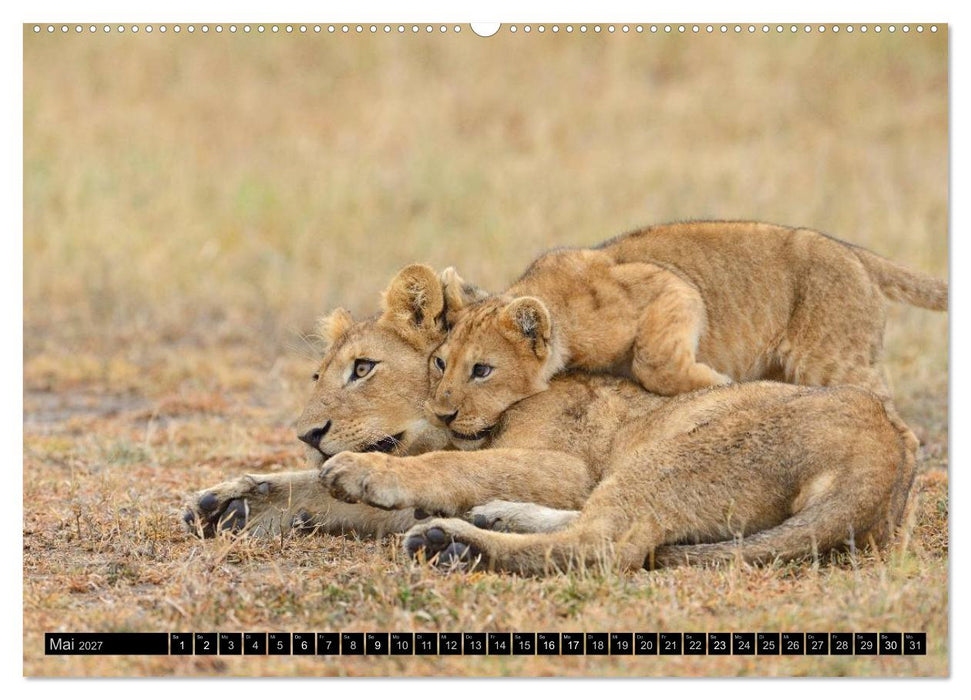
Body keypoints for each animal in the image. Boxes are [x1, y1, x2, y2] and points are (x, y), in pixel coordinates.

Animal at [429, 221, 946, 403]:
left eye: (481, 370)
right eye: (439, 362)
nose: (441, 414)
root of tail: (857, 254)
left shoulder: (672, 288)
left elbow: (652, 362)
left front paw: (714, 382)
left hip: (824, 358)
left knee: (880, 394)